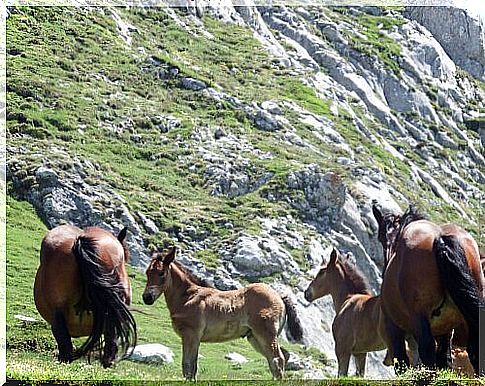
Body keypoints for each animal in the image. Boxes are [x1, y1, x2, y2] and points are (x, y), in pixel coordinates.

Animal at [141, 247, 302, 380]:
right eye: (147, 272)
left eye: (161, 273)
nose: (147, 298)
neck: (188, 296)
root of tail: (279, 297)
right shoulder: (193, 338)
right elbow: (191, 367)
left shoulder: (191, 334)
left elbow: (188, 366)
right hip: (255, 338)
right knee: (281, 357)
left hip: (265, 335)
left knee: (277, 359)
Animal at [304, 247, 418, 376]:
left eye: (321, 272)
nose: (307, 293)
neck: (347, 299)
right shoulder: (360, 352)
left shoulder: (342, 348)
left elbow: (342, 374)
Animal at [372, 205, 482, 374]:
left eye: (381, 238)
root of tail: (440, 238)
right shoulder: (445, 329)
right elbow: (445, 359)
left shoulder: (392, 328)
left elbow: (402, 361)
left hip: (419, 316)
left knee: (427, 350)